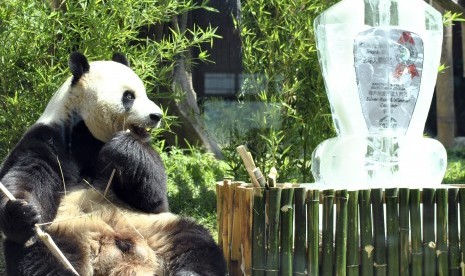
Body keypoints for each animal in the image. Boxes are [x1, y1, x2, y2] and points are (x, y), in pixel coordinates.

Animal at [0, 52, 227, 276]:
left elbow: (154, 199)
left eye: (144, 92)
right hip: (62, 231)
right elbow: (29, 176)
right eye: (129, 96)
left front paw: (122, 146)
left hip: (155, 228)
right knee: (41, 256)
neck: (87, 134)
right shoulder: (48, 139)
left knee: (194, 241)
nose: (157, 116)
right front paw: (21, 212)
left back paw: (188, 272)